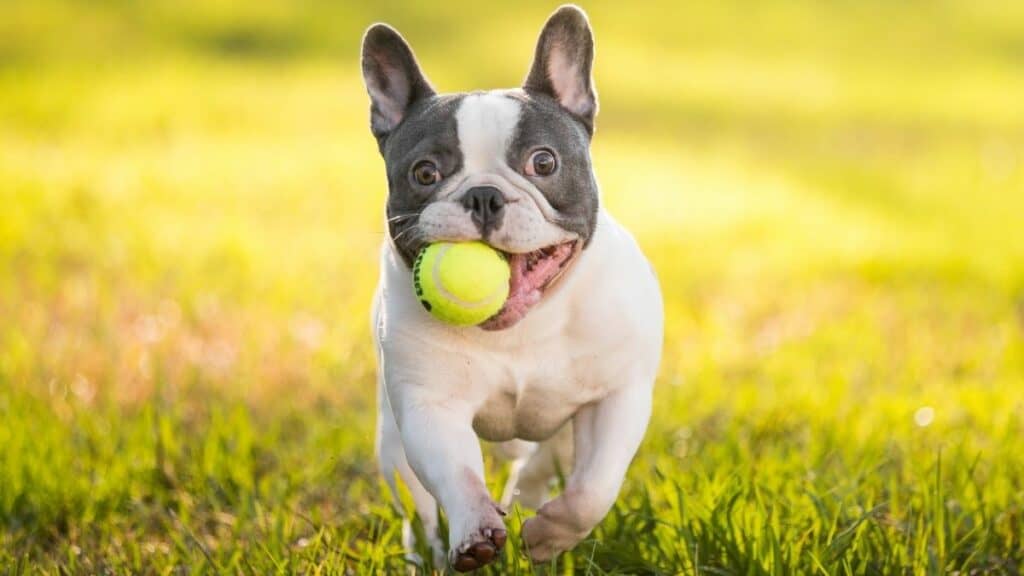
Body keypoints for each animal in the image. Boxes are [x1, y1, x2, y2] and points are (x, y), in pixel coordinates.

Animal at [362, 4, 663, 569]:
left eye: (543, 162)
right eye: (425, 173)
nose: (483, 195)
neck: (524, 326)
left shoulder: (616, 398)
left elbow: (593, 489)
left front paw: (547, 536)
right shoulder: (430, 407)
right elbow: (457, 474)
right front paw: (475, 532)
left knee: (545, 465)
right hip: (391, 441)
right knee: (417, 504)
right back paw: (426, 551)